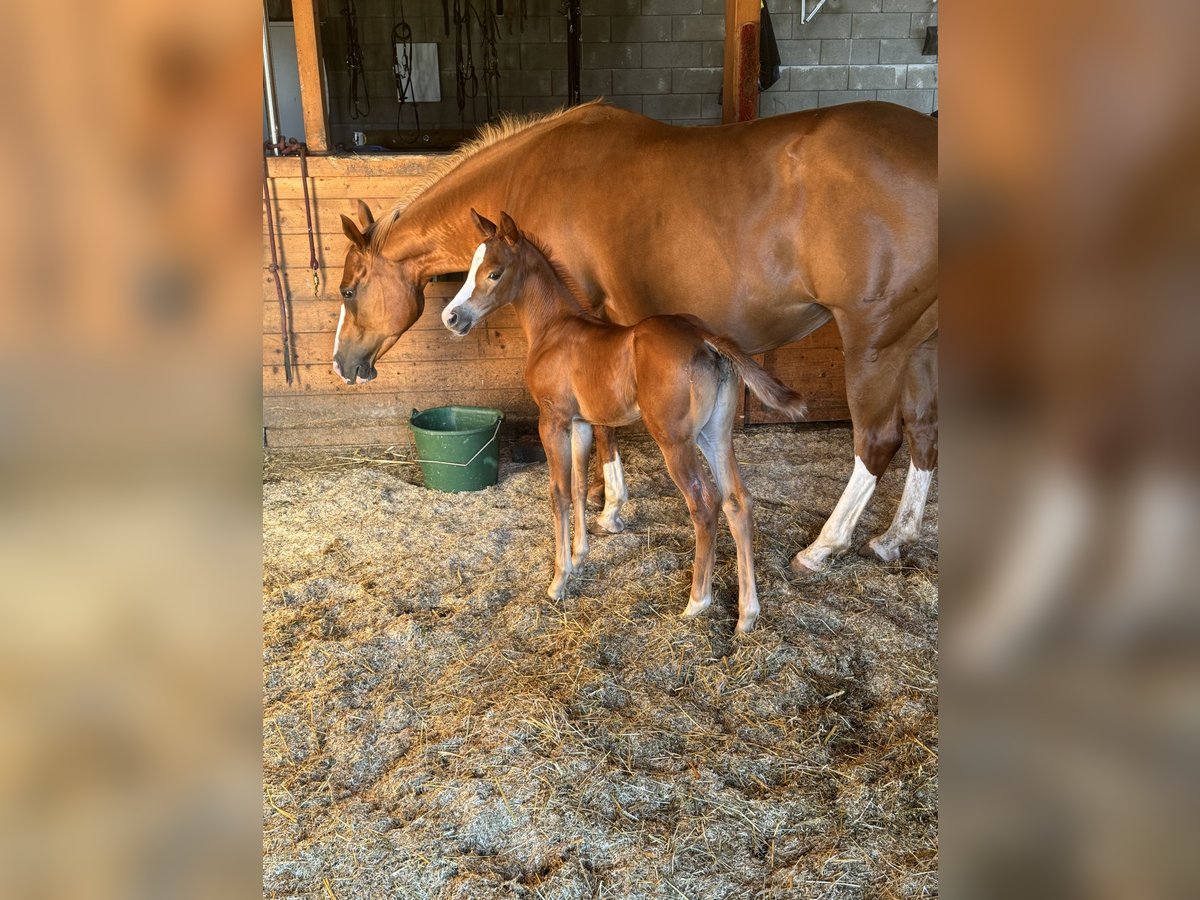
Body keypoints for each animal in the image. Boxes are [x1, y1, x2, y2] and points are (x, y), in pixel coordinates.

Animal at [441, 211, 806, 633]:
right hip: (715, 435)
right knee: (738, 502)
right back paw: (747, 614)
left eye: (494, 273)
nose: (451, 317)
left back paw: (697, 602)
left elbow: (559, 492)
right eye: (469, 269)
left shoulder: (553, 419)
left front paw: (559, 579)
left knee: (704, 504)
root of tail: (704, 335)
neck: (553, 329)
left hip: (675, 440)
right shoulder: (581, 423)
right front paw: (580, 555)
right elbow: (580, 486)